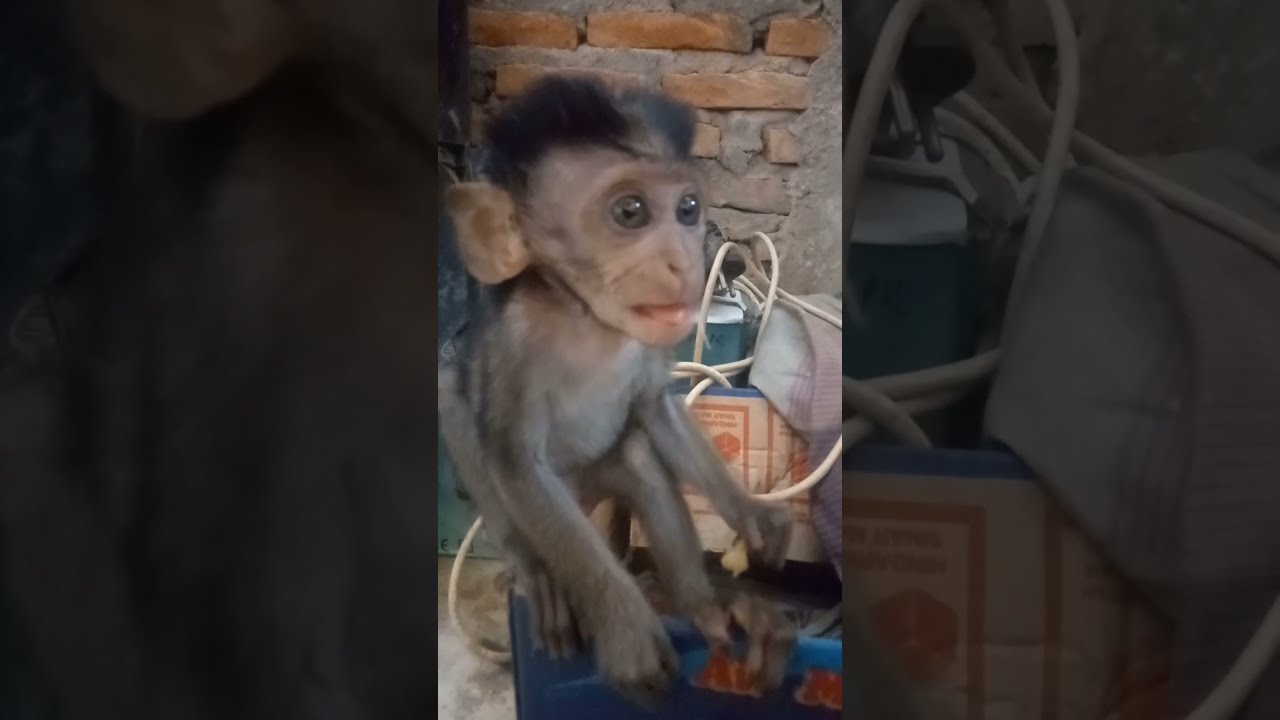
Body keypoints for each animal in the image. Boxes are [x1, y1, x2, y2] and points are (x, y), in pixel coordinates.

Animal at [438, 75, 798, 708]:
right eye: (630, 212)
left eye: (688, 209)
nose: (684, 262)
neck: (588, 319)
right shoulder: (517, 336)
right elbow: (511, 455)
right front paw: (625, 629)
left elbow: (655, 406)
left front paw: (751, 513)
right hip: (555, 505)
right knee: (456, 405)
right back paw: (539, 575)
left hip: (601, 470)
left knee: (638, 458)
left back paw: (707, 608)